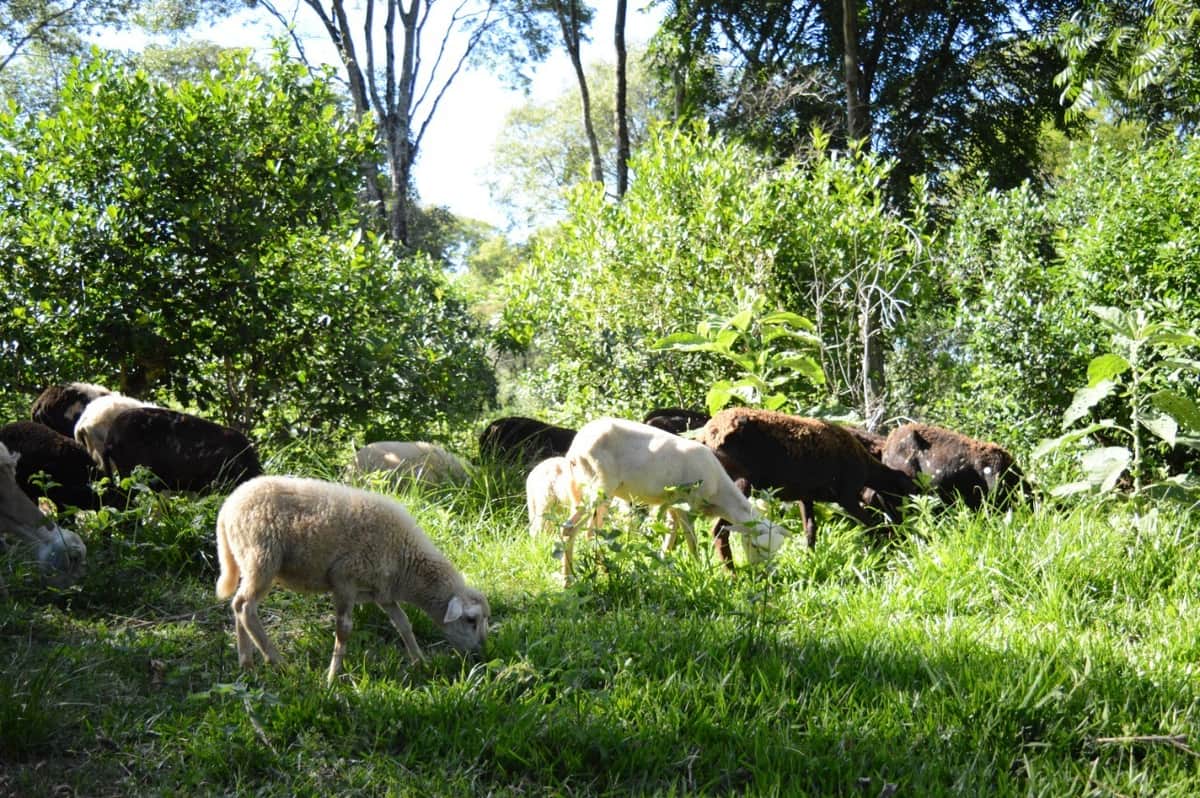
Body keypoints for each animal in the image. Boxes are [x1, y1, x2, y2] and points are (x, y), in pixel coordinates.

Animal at [215, 475, 490, 683]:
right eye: (471, 620)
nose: (481, 652)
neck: (407, 564)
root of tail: (228, 506)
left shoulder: (383, 593)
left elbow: (403, 624)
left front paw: (419, 662)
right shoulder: (344, 581)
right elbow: (344, 630)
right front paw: (332, 678)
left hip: (247, 560)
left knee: (237, 604)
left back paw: (247, 664)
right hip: (262, 558)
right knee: (246, 606)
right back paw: (279, 663)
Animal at [559, 417, 790, 581]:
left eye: (774, 550)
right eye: (755, 546)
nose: (761, 575)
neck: (720, 493)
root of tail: (575, 449)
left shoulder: (670, 505)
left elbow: (669, 540)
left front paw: (659, 570)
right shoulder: (685, 504)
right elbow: (692, 541)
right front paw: (700, 571)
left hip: (591, 491)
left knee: (592, 532)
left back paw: (601, 570)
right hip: (598, 485)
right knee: (569, 529)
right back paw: (568, 580)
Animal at [700, 408, 920, 552]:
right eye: (900, 494)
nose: (903, 523)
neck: (868, 468)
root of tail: (709, 434)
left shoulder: (805, 496)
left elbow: (810, 530)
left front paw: (810, 559)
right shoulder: (846, 496)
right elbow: (872, 524)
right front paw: (889, 547)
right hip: (738, 482)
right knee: (720, 530)